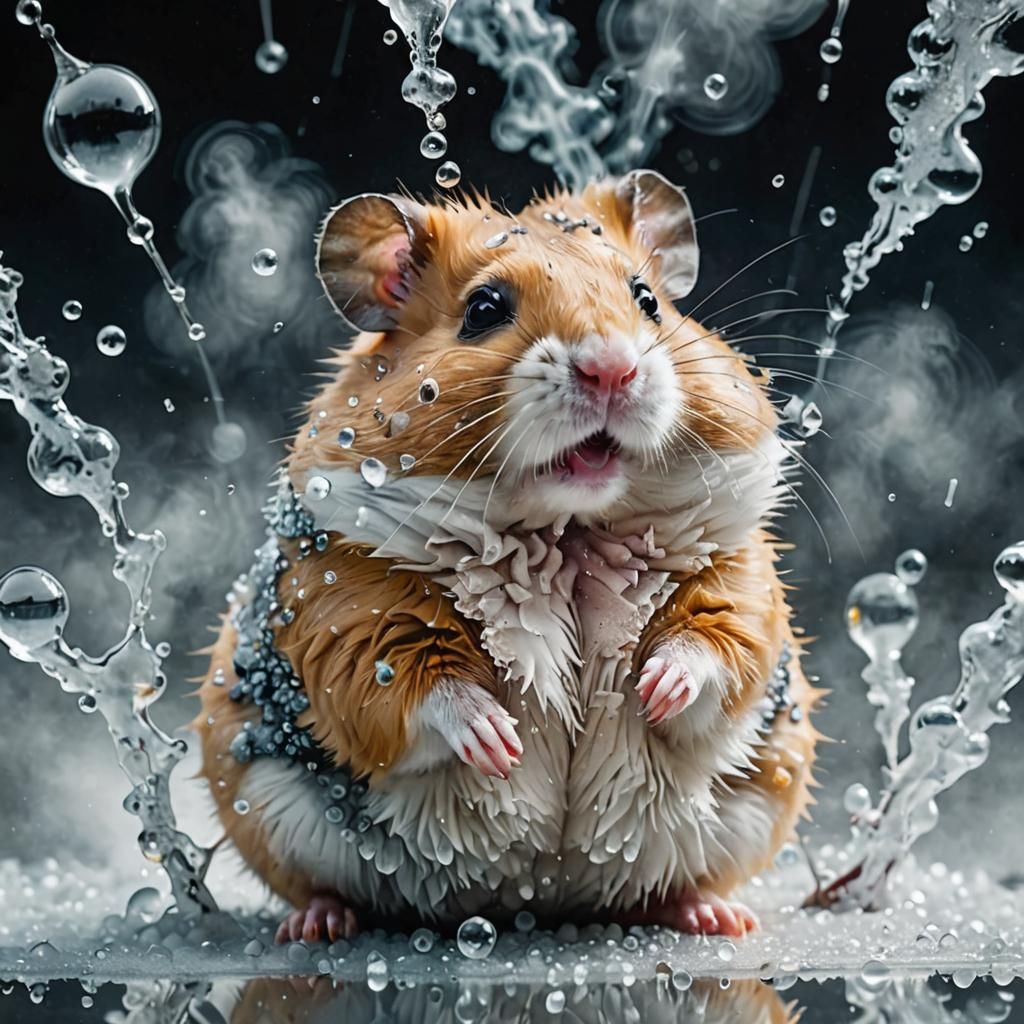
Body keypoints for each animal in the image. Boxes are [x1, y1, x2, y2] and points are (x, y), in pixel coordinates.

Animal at [194, 169, 819, 944]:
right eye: (484, 308)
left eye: (647, 299)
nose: (612, 369)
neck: (567, 531)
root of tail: (535, 900)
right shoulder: (345, 603)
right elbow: (411, 684)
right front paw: (501, 744)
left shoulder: (736, 572)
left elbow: (716, 644)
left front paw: (653, 690)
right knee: (321, 886)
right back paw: (317, 924)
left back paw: (717, 916)